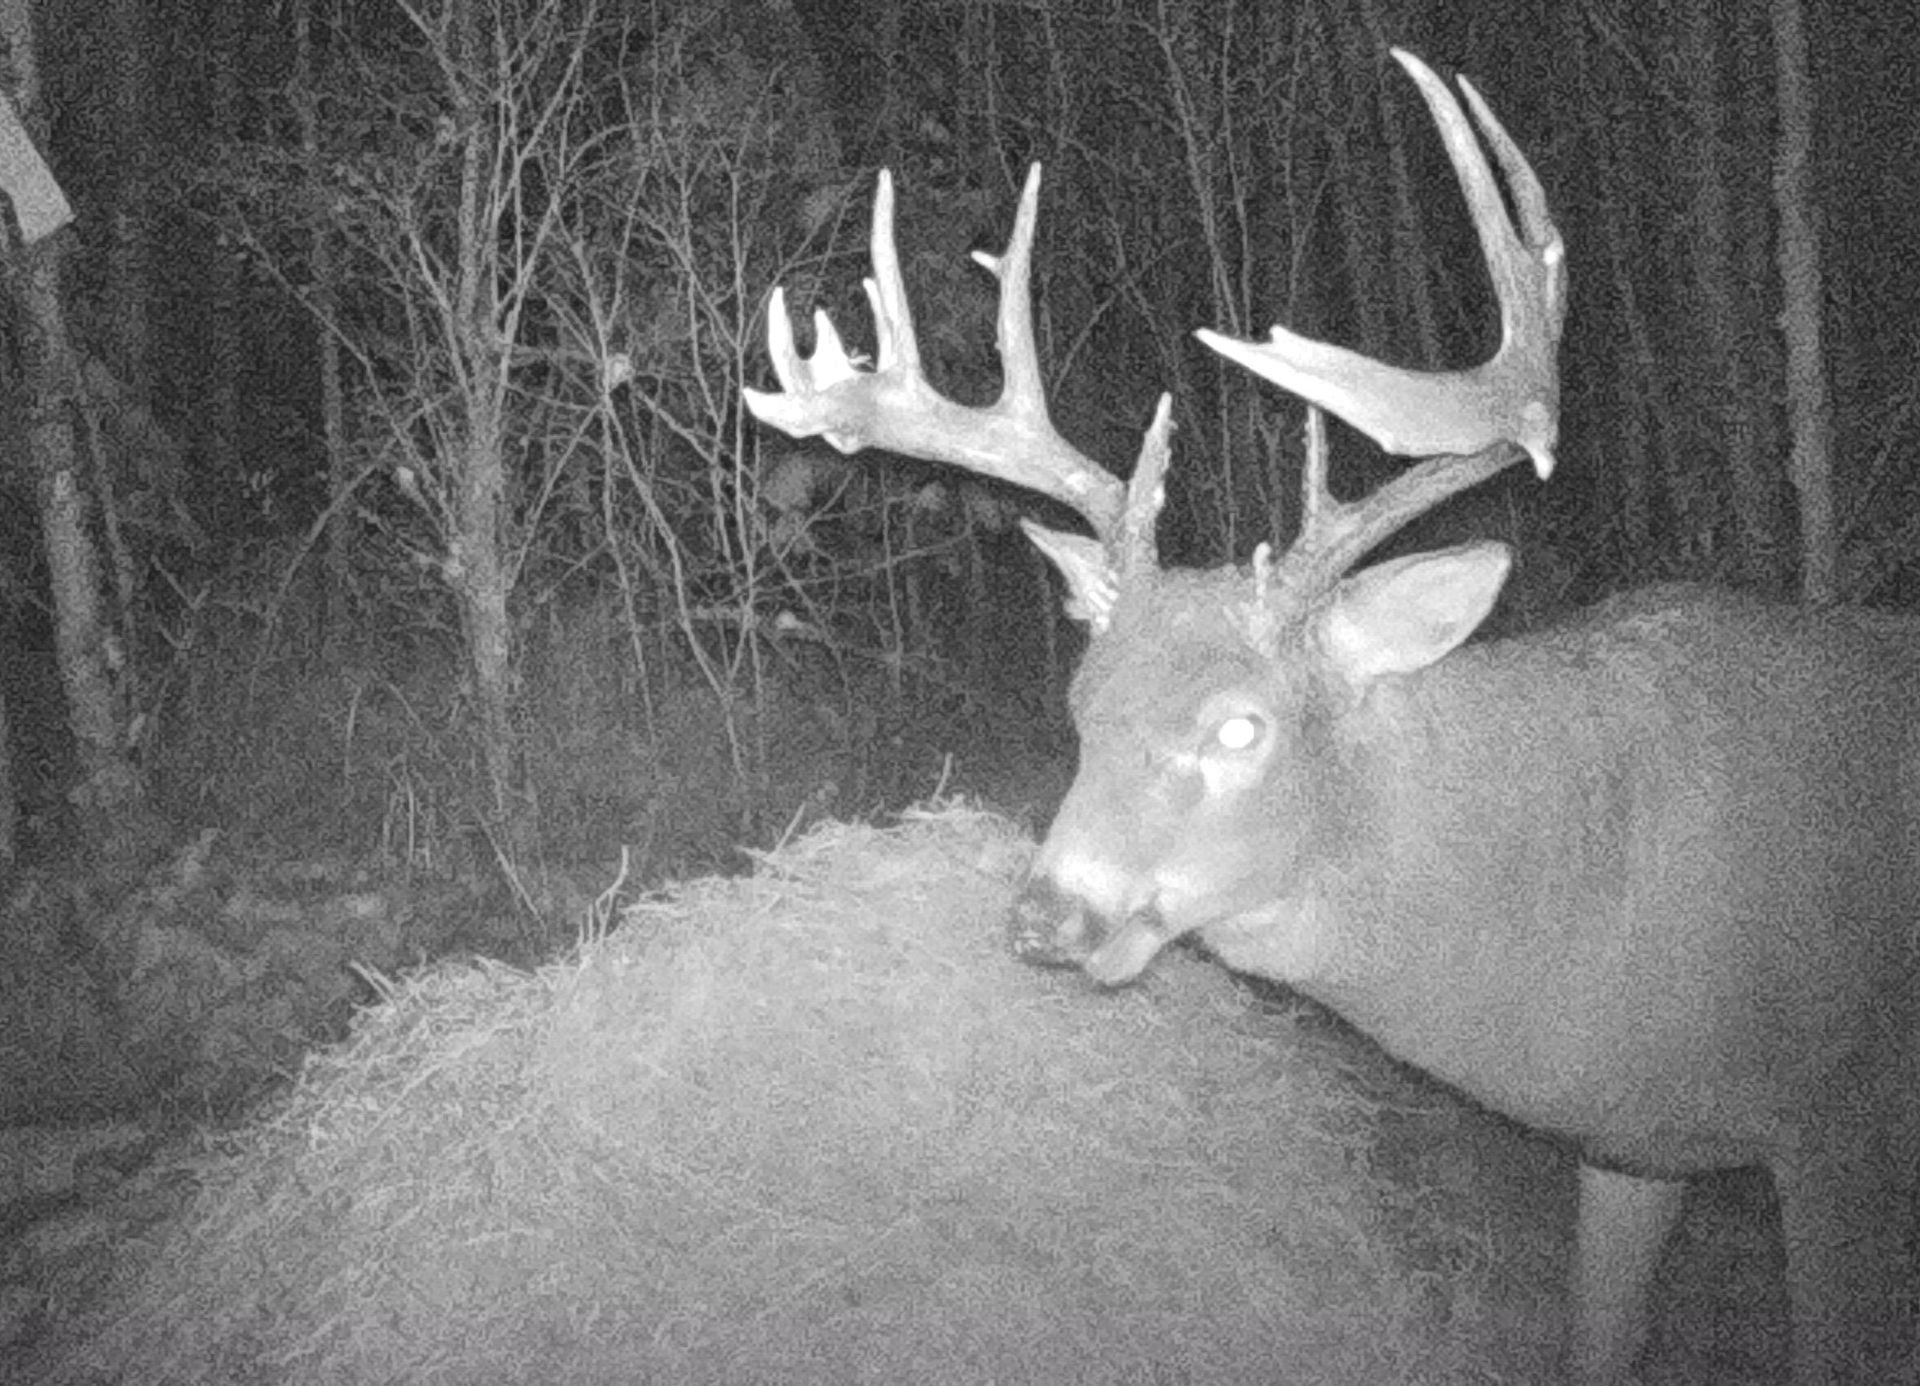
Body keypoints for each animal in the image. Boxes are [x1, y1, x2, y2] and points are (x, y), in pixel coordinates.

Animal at [744, 49, 1918, 1385]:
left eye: (1241, 727)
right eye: (1082, 707)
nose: (1046, 917)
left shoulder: (1843, 1125)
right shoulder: (1628, 1145)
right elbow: (1596, 1339)